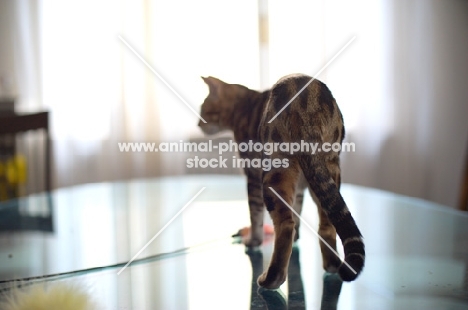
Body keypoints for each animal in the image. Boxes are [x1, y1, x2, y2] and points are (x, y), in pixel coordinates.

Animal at [197, 74, 366, 290]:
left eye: (203, 109)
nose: (198, 124)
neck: (243, 106)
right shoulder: (301, 185)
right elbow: (298, 209)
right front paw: (298, 237)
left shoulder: (252, 175)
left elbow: (255, 214)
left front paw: (254, 240)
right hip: (328, 168)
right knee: (327, 222)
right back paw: (332, 265)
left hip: (274, 170)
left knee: (285, 224)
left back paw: (271, 279)